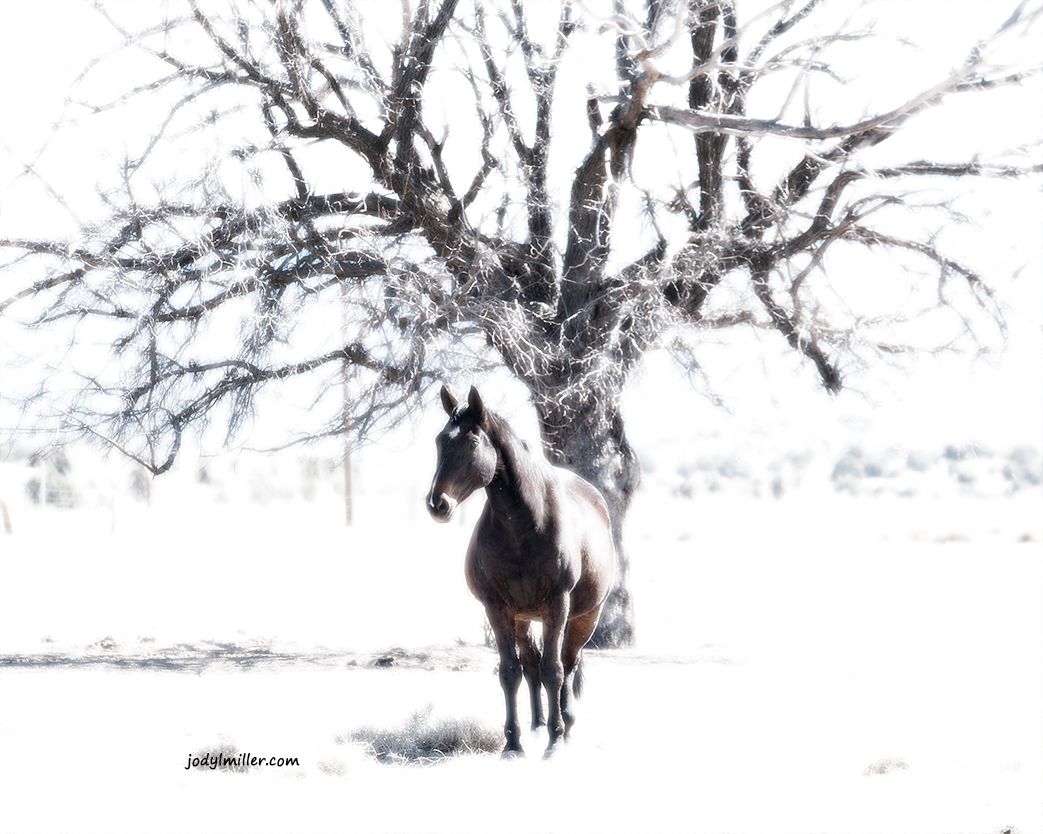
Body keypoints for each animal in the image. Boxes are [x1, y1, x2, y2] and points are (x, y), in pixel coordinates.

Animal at [426, 384, 615, 758]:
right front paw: (512, 743)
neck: (525, 525)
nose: (437, 504)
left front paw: (554, 744)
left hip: (585, 616)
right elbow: (511, 672)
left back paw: (565, 725)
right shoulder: (497, 608)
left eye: (472, 442)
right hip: (524, 618)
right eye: (440, 440)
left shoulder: (558, 605)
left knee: (568, 663)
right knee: (530, 665)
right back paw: (537, 726)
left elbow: (554, 671)